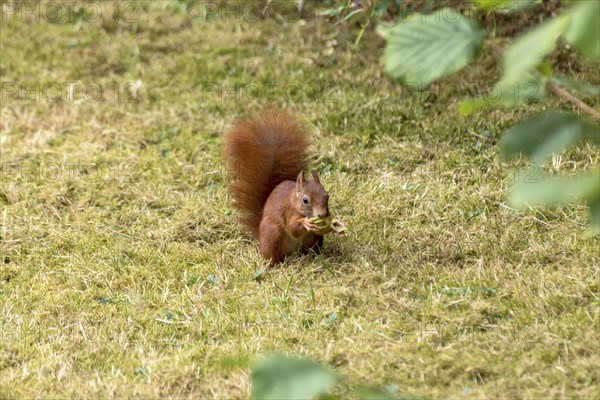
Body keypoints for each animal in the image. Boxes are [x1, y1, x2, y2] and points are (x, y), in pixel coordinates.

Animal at [223, 108, 332, 268]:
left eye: (327, 196)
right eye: (305, 200)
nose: (322, 214)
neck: (294, 202)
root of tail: (261, 240)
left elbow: (325, 229)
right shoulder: (287, 211)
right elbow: (293, 229)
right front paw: (305, 223)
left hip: (313, 240)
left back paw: (312, 257)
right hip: (273, 234)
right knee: (272, 256)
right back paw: (275, 265)